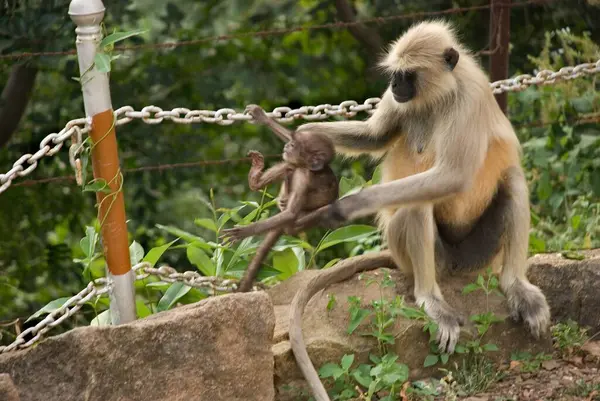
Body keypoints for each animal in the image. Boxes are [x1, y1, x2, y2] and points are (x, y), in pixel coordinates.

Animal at [223, 104, 340, 292]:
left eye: (296, 145)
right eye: (292, 141)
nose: (288, 145)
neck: (309, 167)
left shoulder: (303, 176)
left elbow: (291, 213)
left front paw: (246, 231)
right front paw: (262, 117)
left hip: (299, 224)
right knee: (288, 167)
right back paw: (256, 182)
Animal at [290, 20, 552, 354]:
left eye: (408, 75)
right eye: (395, 75)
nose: (395, 86)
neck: (440, 94)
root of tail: (457, 267)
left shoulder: (468, 97)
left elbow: (453, 175)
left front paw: (350, 205)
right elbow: (374, 137)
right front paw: (303, 139)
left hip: (481, 256)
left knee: (511, 179)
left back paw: (514, 285)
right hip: (424, 255)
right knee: (420, 202)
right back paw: (432, 298)